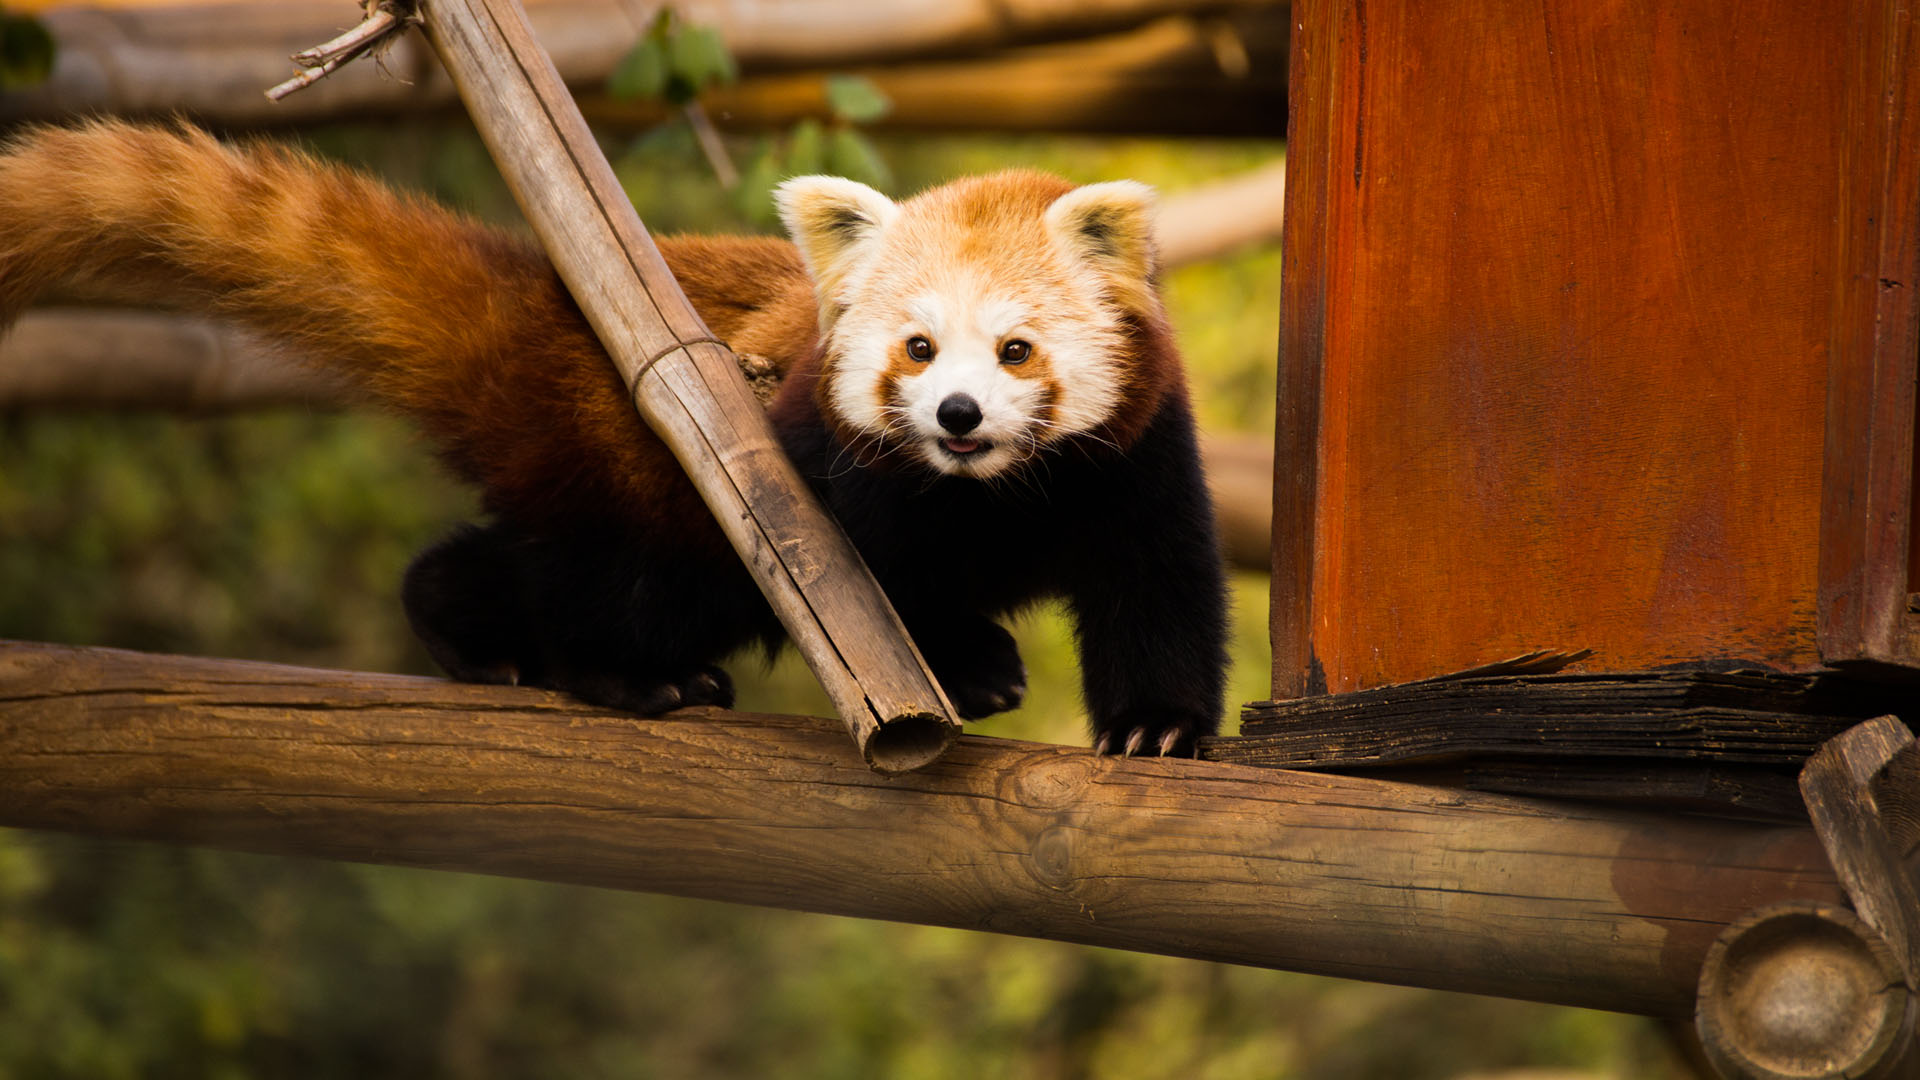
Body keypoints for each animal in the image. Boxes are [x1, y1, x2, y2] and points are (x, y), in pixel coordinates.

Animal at [0, 122, 1228, 753]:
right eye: (919, 350)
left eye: (1015, 351)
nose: (956, 417)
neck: (991, 499)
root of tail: (541, 309)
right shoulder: (823, 473)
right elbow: (877, 582)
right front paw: (970, 662)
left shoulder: (1140, 465)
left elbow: (1160, 592)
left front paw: (1156, 729)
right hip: (643, 476)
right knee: (618, 590)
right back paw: (628, 679)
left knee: (504, 558)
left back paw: (467, 633)